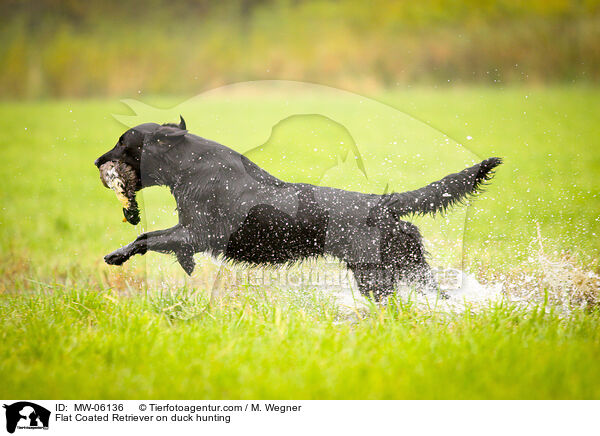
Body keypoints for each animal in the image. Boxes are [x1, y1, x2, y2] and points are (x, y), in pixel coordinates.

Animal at [96, 116, 502, 300]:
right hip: (409, 266)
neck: (192, 165)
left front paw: (117, 254)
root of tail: (382, 202)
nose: (98, 160)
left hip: (375, 274)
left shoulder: (198, 231)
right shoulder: (193, 234)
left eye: (122, 142)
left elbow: (146, 236)